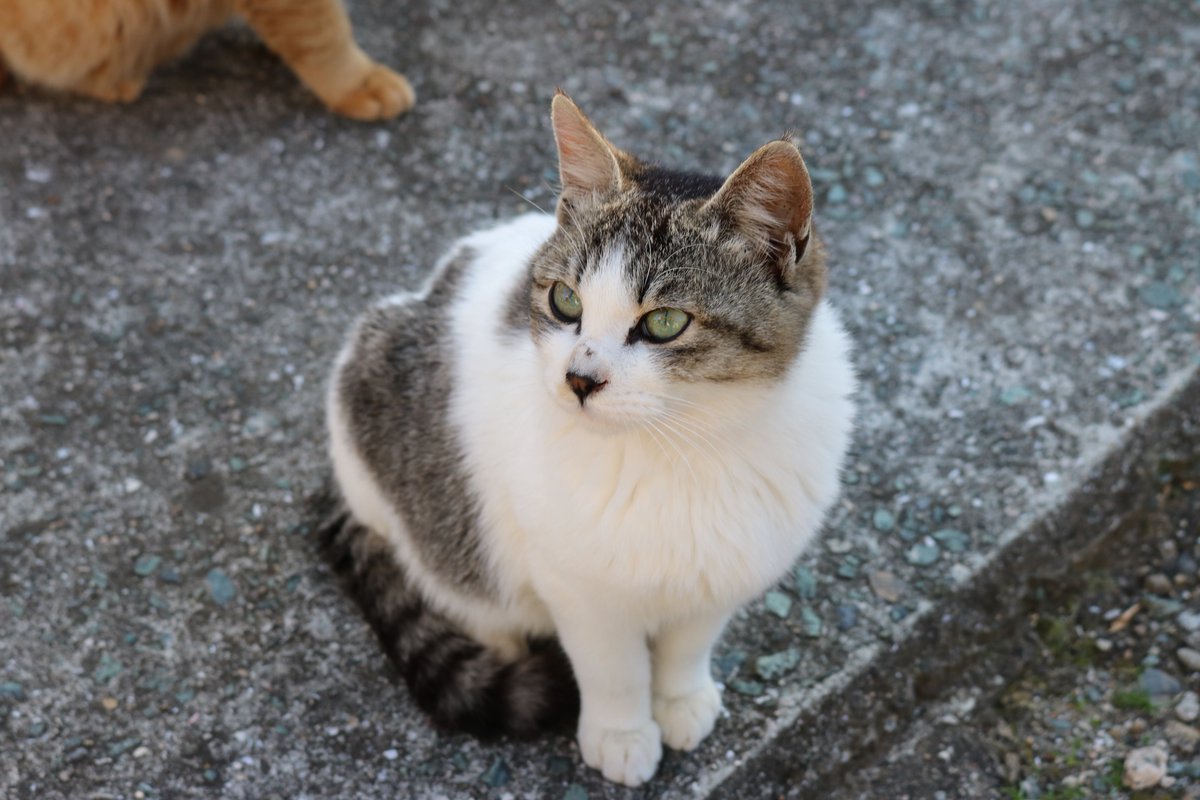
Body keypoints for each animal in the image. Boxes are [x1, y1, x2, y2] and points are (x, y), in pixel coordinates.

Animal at [321, 92, 854, 782]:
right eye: (565, 301)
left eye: (664, 322)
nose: (578, 378)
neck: (688, 445)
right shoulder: (576, 584)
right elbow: (612, 666)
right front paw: (621, 733)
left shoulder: (728, 566)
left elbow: (690, 642)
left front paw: (682, 698)